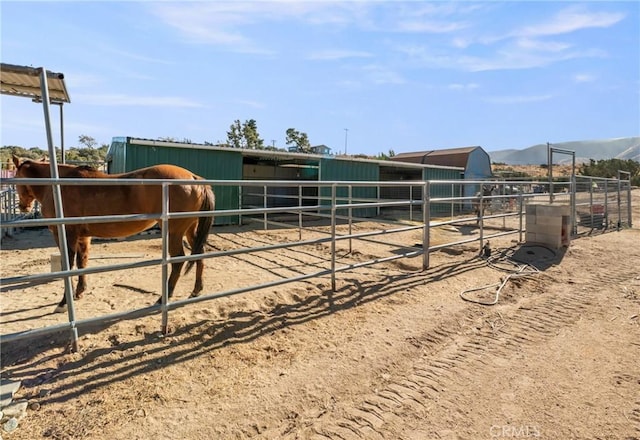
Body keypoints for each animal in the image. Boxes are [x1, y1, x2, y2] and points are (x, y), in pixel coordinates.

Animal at [11, 156, 215, 312]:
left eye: (15, 179)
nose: (23, 206)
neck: (57, 187)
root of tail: (193, 178)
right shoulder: (83, 236)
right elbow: (82, 262)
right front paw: (79, 292)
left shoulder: (66, 234)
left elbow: (68, 265)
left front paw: (63, 303)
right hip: (189, 230)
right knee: (199, 254)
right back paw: (196, 290)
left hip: (174, 232)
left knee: (178, 261)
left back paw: (164, 297)